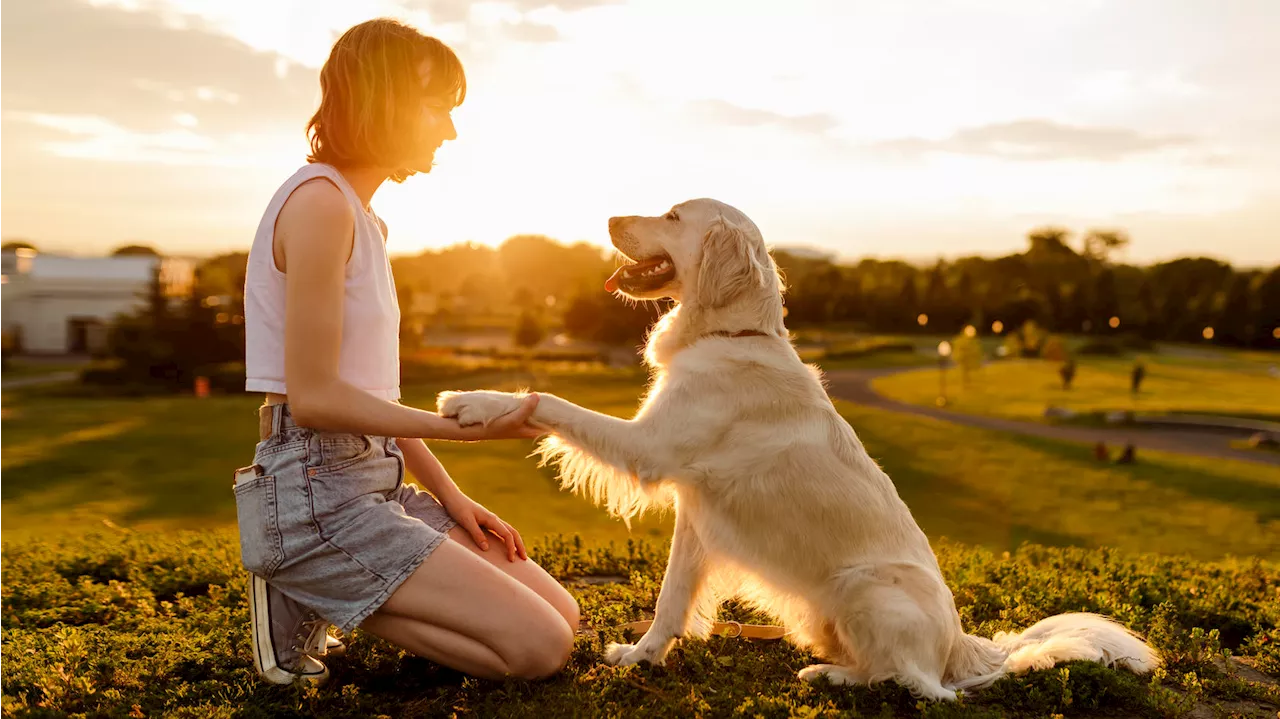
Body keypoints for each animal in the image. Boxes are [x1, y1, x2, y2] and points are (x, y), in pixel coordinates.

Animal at [437, 198, 1162, 695]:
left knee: (921, 686)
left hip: (865, 586)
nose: (611, 214)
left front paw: (477, 401)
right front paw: (642, 657)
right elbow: (671, 600)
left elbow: (551, 403)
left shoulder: (650, 446)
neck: (730, 335)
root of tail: (964, 646)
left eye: (671, 214)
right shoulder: (695, 515)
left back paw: (830, 676)